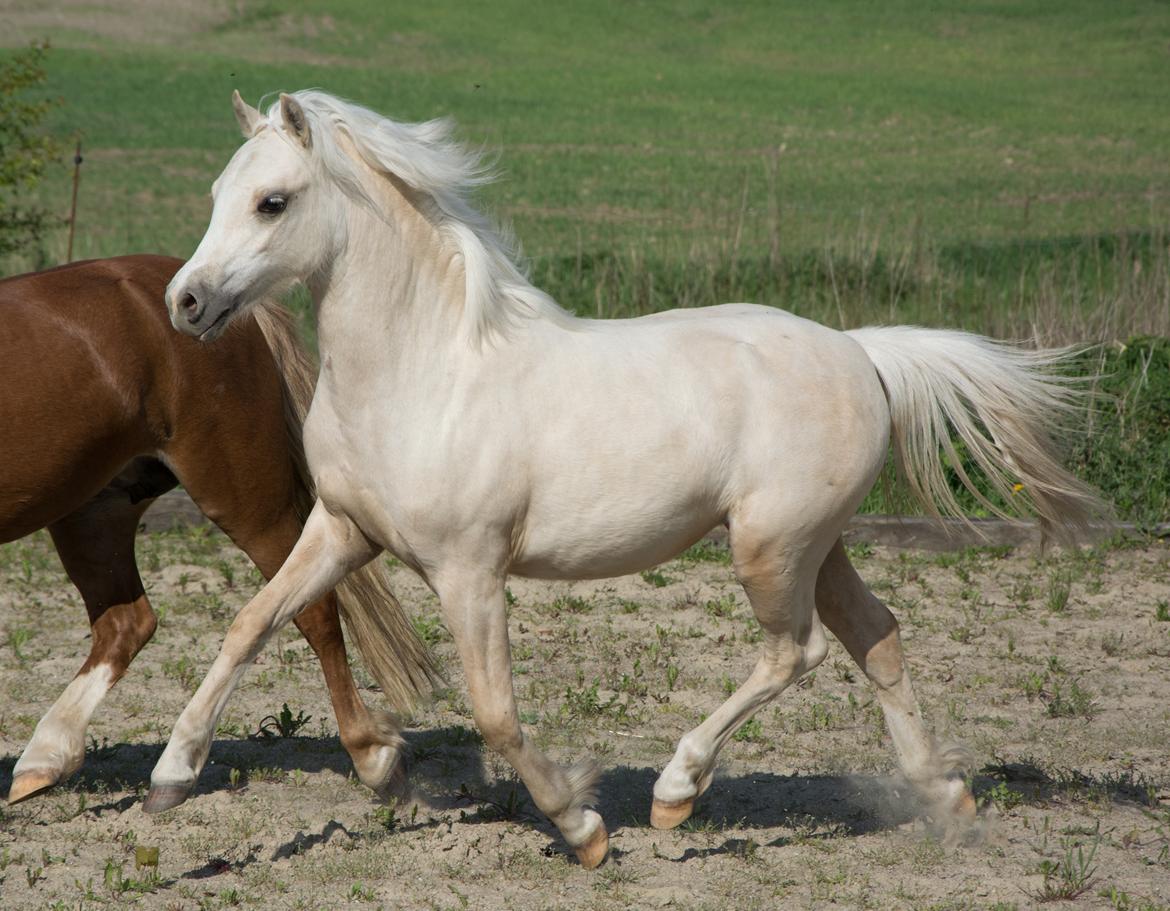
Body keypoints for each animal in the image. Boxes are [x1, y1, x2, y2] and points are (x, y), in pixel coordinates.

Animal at [0, 255, 436, 805]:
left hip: (243, 498)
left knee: (309, 609)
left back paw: (373, 758)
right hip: (93, 512)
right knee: (127, 624)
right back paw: (44, 760)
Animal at [150, 90, 1103, 868]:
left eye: (273, 201)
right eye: (217, 195)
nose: (184, 304)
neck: (423, 375)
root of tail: (862, 354)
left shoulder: (469, 570)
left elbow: (495, 710)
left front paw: (583, 829)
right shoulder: (343, 530)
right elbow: (248, 624)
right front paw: (174, 774)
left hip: (770, 546)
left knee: (798, 650)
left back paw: (677, 791)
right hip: (816, 545)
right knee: (878, 635)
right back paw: (947, 799)